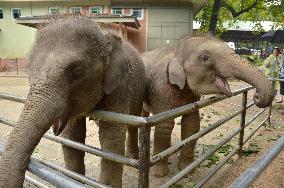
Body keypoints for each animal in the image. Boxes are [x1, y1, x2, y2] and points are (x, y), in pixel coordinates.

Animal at [0, 16, 145, 187]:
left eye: (77, 71)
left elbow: (111, 139)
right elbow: (72, 137)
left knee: (134, 122)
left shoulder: (120, 86)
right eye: (28, 69)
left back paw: (133, 157)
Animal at [127, 34, 274, 178]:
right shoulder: (161, 89)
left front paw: (186, 169)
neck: (175, 51)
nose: (257, 96)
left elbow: (191, 124)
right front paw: (159, 174)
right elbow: (165, 125)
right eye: (205, 57)